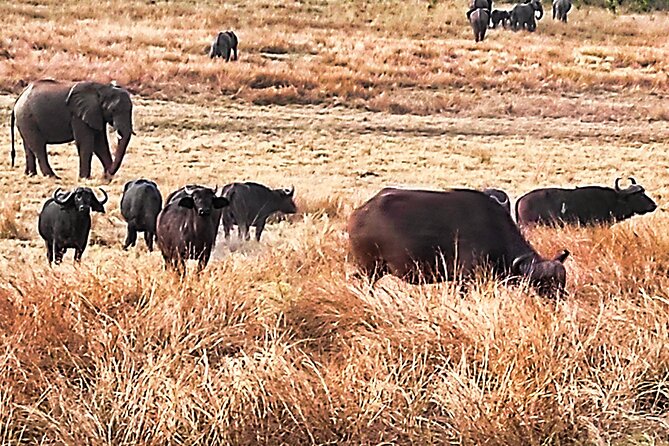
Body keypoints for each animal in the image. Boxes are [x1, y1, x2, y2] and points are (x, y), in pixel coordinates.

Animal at [348, 188, 569, 296]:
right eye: (542, 283)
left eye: (561, 281)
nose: (559, 300)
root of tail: (360, 213)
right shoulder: (466, 278)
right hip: (370, 268)